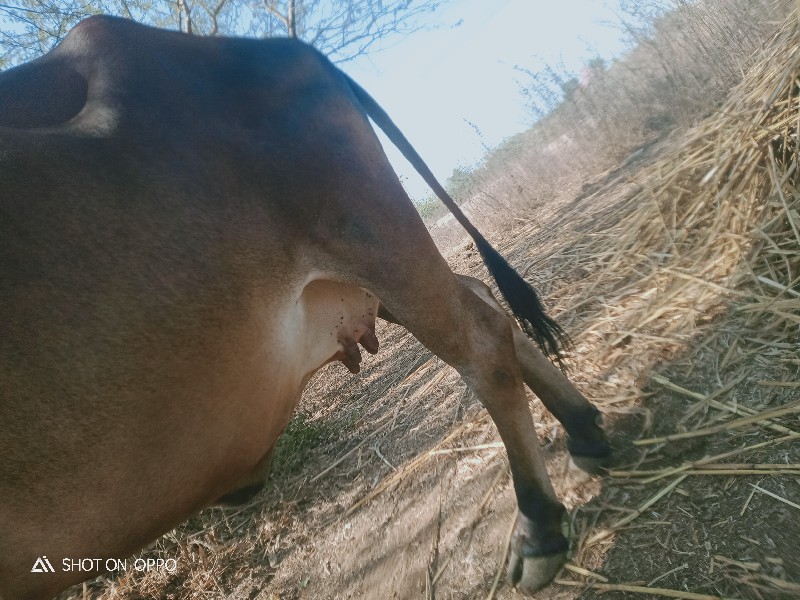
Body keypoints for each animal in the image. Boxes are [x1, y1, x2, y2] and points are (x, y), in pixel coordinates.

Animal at [0, 16, 608, 596]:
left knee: (482, 341)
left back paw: (540, 527)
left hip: (376, 243)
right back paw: (585, 432)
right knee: (483, 299)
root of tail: (280, 48)